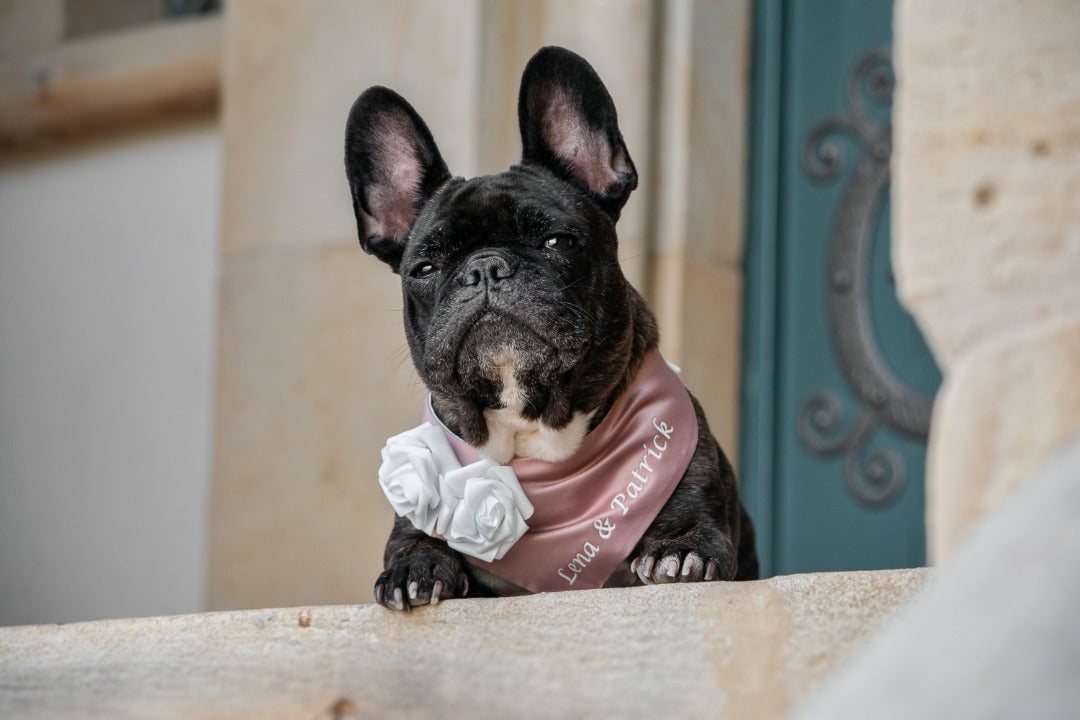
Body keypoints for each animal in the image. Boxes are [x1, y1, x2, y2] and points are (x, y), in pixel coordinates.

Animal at [341, 45, 756, 613]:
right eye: (424, 268)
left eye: (557, 241)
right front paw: (416, 565)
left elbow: (694, 525)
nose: (485, 268)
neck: (535, 438)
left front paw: (682, 546)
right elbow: (413, 539)